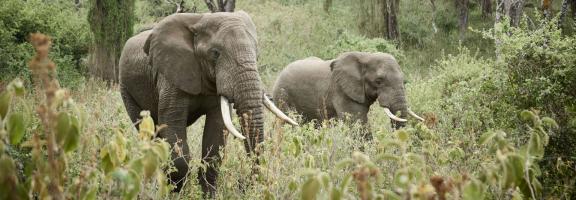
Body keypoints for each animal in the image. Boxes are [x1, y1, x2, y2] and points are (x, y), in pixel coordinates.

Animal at [118, 10, 296, 195]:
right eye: (215, 53)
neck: (200, 20)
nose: (244, 185)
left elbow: (216, 131)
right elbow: (172, 125)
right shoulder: (170, 75)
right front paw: (178, 192)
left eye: (257, 54)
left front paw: (208, 194)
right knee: (148, 131)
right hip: (126, 88)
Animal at [272, 52, 420, 138]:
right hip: (282, 96)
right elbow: (358, 123)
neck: (365, 56)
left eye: (404, 81)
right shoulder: (341, 91)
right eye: (379, 81)